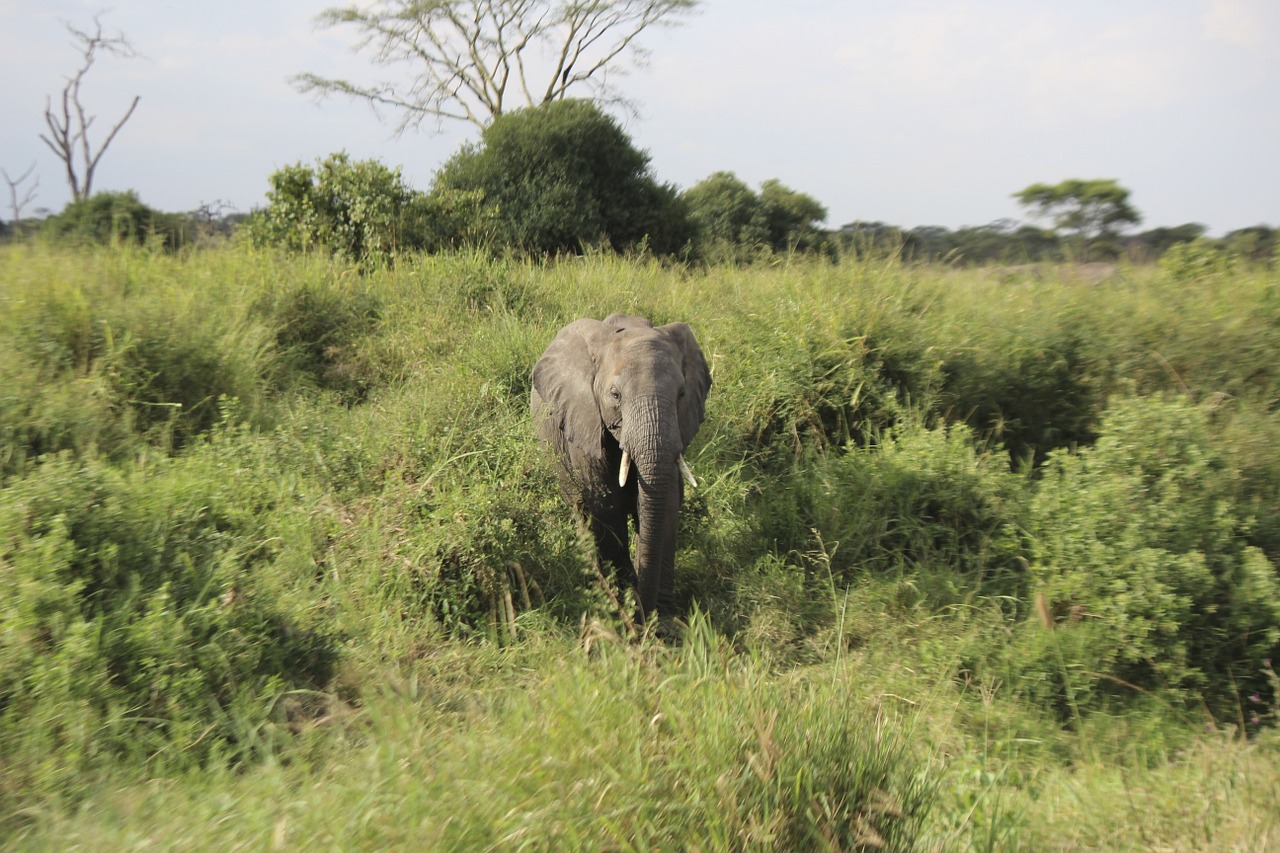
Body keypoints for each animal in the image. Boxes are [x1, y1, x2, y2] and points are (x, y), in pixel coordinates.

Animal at [527, 308, 711, 622]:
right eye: (615, 395)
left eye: (681, 394)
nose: (645, 617)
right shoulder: (585, 422)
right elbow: (606, 506)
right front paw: (626, 607)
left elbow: (666, 503)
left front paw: (663, 621)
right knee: (580, 510)